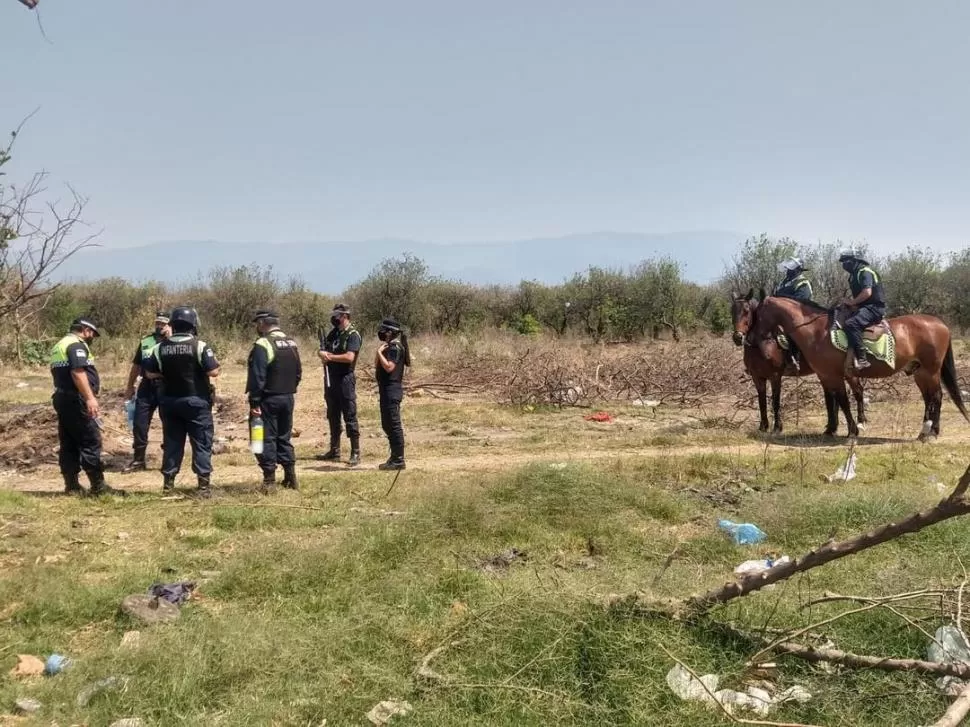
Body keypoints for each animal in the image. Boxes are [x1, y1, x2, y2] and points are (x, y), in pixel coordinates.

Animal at [728, 290, 864, 436]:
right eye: (732, 311)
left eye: (746, 311)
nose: (738, 337)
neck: (761, 346)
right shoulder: (757, 378)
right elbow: (761, 401)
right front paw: (763, 427)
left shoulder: (775, 376)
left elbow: (775, 401)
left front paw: (777, 427)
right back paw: (832, 428)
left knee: (856, 391)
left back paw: (856, 423)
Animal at [756, 294, 968, 438]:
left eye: (757, 313)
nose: (753, 338)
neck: (816, 331)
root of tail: (940, 323)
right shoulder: (826, 376)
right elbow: (836, 401)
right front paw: (834, 429)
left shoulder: (834, 376)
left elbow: (842, 401)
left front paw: (852, 430)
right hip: (919, 372)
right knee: (928, 398)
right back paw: (925, 430)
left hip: (931, 371)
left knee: (937, 397)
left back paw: (932, 432)